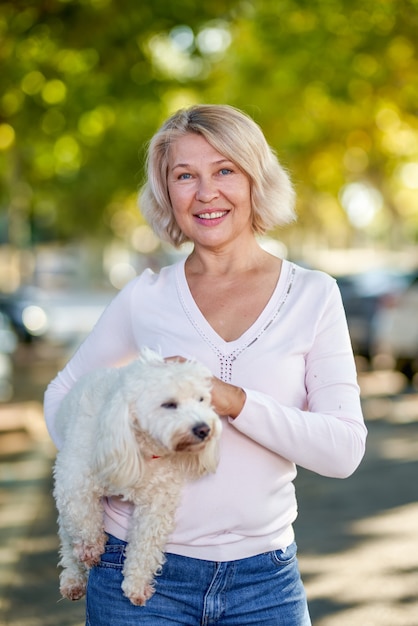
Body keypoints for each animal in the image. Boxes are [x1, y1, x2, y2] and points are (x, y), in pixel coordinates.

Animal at [52, 346, 222, 604]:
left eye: (201, 400)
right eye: (169, 404)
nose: (204, 429)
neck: (141, 446)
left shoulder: (158, 501)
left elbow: (146, 543)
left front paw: (137, 584)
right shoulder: (74, 479)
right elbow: (83, 517)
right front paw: (91, 546)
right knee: (66, 531)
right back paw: (73, 577)